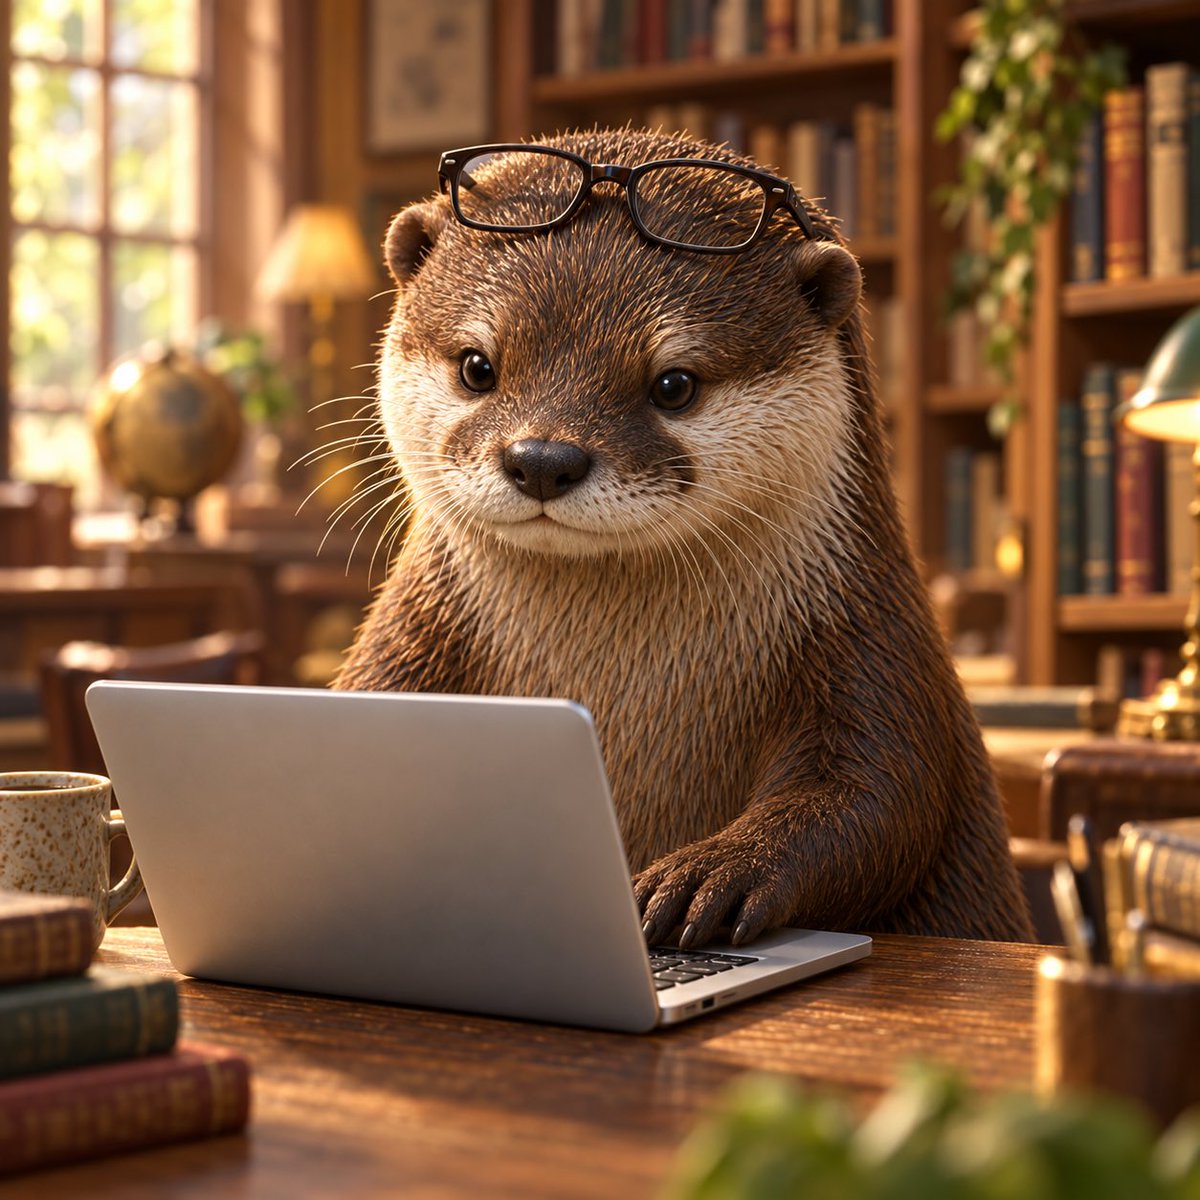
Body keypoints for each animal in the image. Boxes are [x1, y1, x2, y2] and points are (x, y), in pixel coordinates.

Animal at [336, 127, 1033, 946]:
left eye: (674, 384)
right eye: (478, 366)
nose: (542, 458)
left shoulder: (872, 638)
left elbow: (880, 793)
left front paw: (711, 874)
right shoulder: (408, 638)